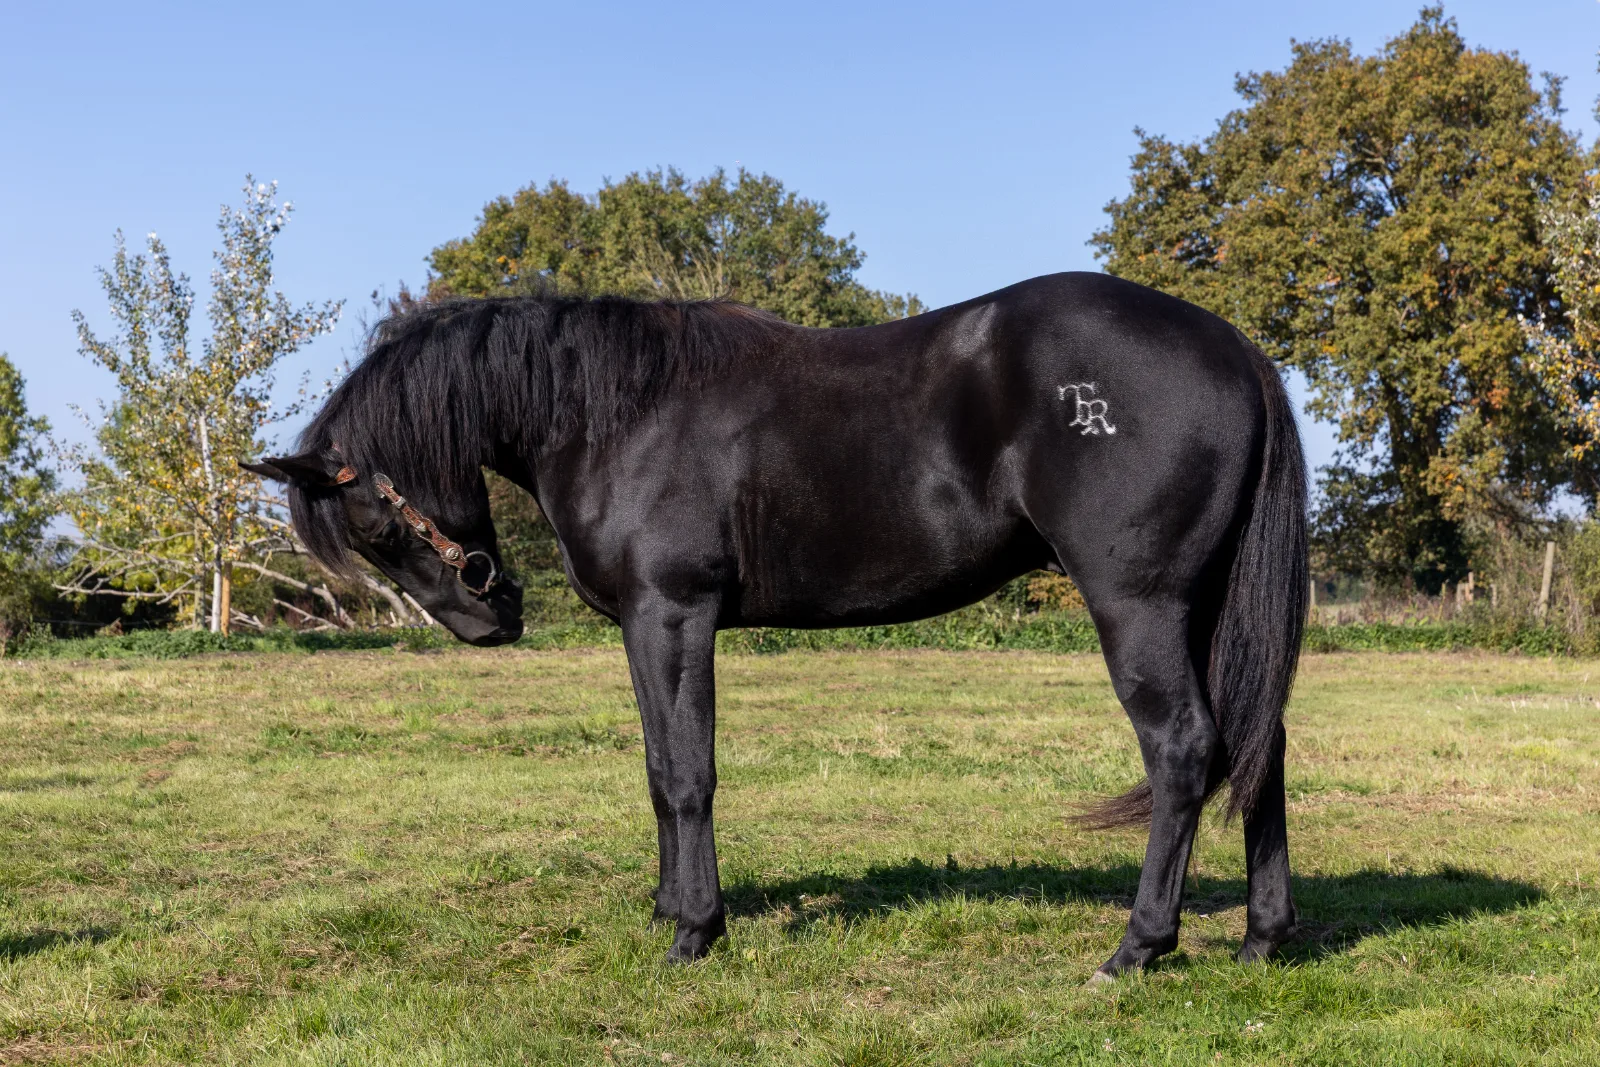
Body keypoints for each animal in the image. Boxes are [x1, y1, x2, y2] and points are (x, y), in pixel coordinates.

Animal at [245, 271, 1307, 980]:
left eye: (377, 526)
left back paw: (1137, 947)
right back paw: (1262, 939)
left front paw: (694, 932)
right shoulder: (643, 625)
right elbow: (656, 768)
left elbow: (687, 773)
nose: (487, 620)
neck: (610, 412)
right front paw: (666, 908)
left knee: (1185, 749)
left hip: (1141, 607)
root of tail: (1235, 349)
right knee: (1261, 745)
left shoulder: (673, 614)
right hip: (1210, 612)